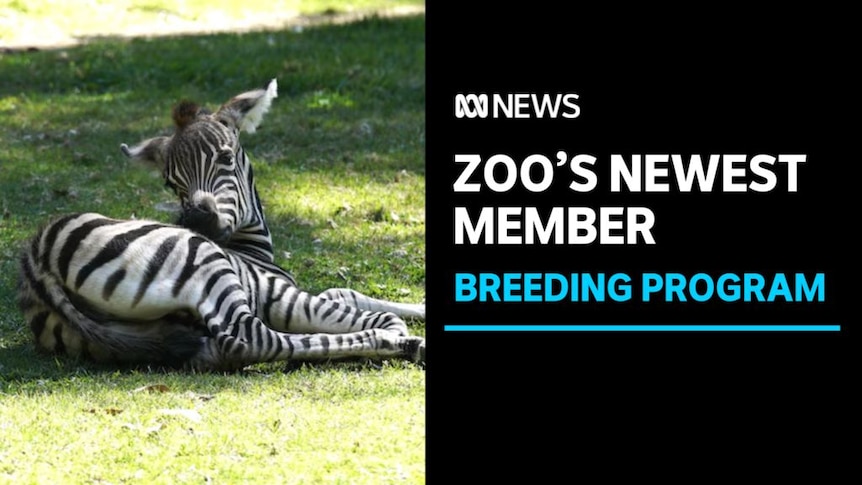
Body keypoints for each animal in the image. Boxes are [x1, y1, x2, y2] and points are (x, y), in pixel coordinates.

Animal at [15, 77, 426, 368]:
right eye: (170, 182)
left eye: (226, 158)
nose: (196, 219)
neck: (251, 250)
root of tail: (39, 263)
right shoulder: (280, 296)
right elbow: (378, 311)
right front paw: (396, 330)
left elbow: (349, 292)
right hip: (206, 266)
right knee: (253, 339)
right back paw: (392, 343)